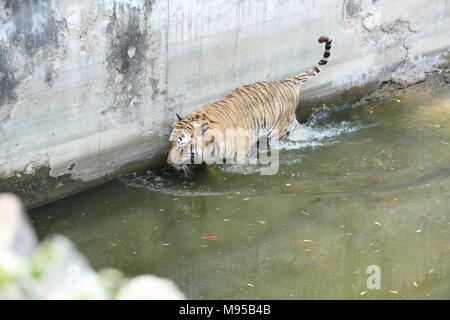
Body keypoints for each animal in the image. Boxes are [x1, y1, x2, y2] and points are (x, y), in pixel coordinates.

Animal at [167, 35, 332, 175]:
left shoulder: (240, 152)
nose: (168, 163)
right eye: (170, 144)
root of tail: (285, 81)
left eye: (181, 148)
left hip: (277, 131)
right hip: (290, 123)